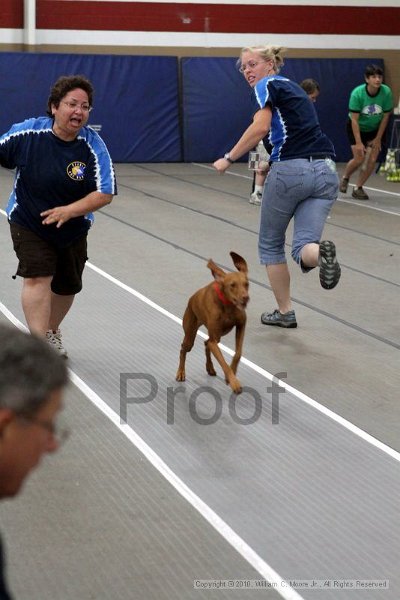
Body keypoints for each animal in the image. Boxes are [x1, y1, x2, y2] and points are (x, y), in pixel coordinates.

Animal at [176, 252, 248, 394]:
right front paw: (233, 381)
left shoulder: (241, 325)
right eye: (232, 285)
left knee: (206, 343)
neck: (227, 305)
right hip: (190, 335)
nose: (246, 297)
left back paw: (210, 367)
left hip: (217, 336)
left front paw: (232, 372)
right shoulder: (214, 340)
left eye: (246, 284)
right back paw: (181, 372)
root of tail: (191, 300)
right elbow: (223, 363)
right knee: (184, 349)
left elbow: (238, 353)